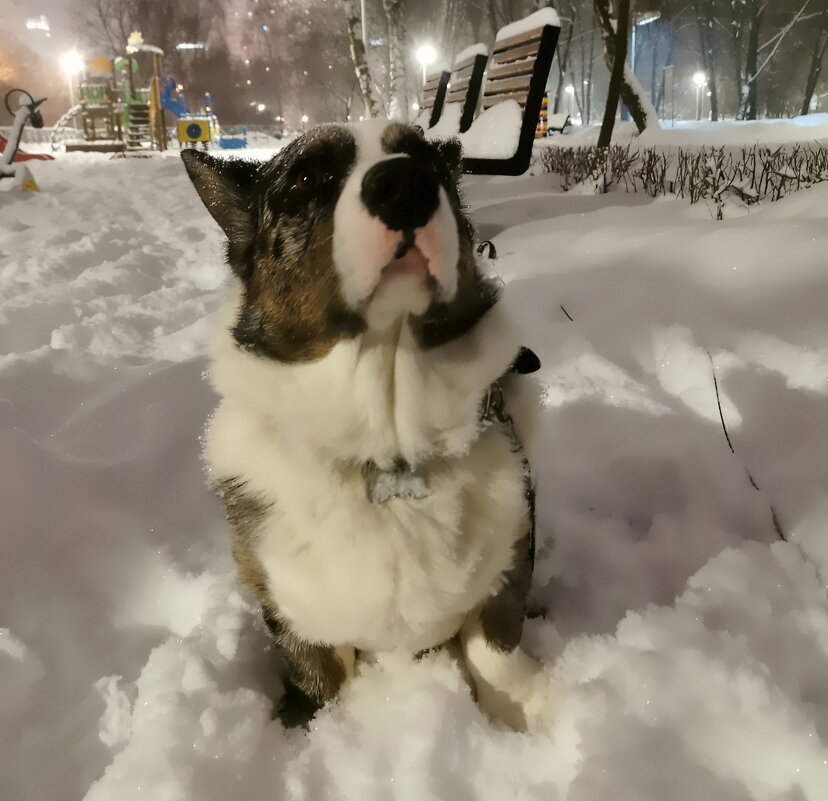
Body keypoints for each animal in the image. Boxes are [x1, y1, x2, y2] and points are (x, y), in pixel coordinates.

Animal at [181, 120, 544, 732]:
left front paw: (523, 716)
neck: (387, 441)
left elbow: (496, 649)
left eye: (426, 159)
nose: (407, 186)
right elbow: (321, 679)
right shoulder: (294, 615)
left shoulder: (510, 556)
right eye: (306, 177)